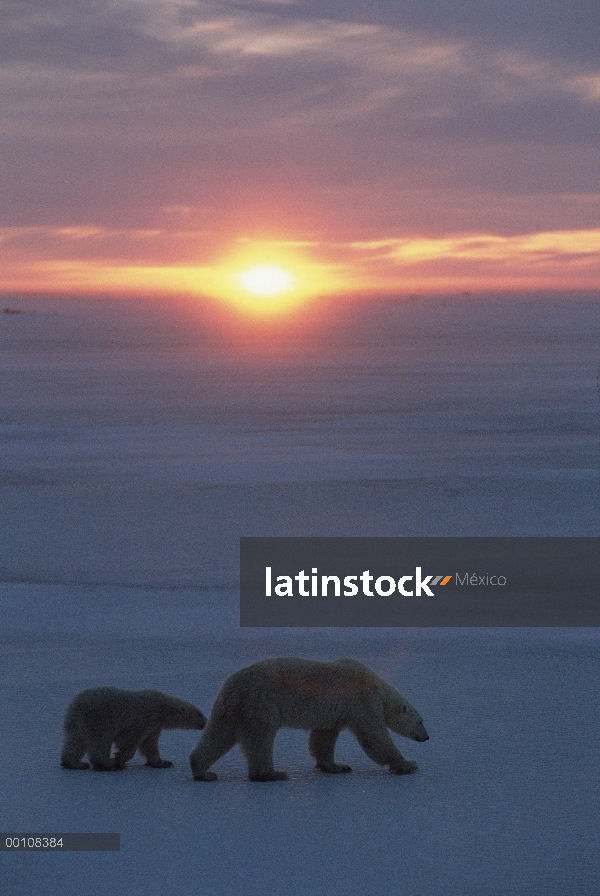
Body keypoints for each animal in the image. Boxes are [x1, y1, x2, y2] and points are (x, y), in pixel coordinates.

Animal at [61, 688, 206, 768]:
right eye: (199, 713)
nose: (205, 722)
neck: (160, 707)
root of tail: (75, 704)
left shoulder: (154, 726)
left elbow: (149, 745)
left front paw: (163, 763)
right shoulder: (141, 719)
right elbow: (129, 741)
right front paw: (120, 759)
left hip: (75, 723)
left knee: (74, 742)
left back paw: (74, 764)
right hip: (98, 719)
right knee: (100, 742)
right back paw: (108, 764)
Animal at [190, 656, 428, 784]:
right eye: (421, 721)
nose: (426, 737)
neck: (378, 687)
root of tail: (231, 690)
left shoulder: (334, 714)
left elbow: (323, 738)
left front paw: (337, 766)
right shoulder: (363, 701)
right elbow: (375, 737)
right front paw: (408, 764)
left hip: (230, 710)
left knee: (219, 735)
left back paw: (203, 771)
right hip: (260, 704)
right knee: (260, 739)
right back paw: (272, 773)